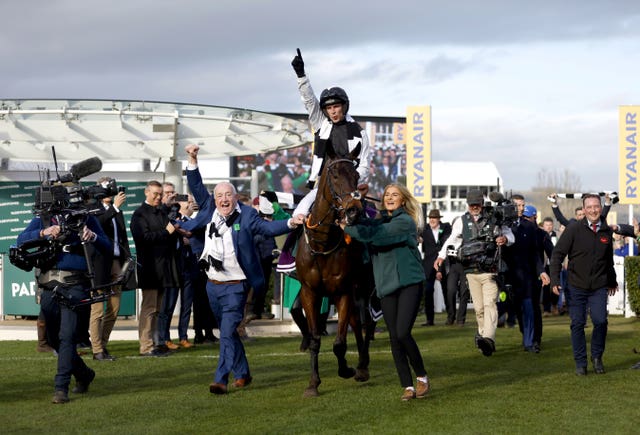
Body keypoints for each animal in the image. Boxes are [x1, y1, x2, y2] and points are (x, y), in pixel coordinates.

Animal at [294, 146, 370, 398]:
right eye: (334, 175)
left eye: (356, 176)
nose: (354, 211)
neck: (323, 245)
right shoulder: (310, 292)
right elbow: (315, 339)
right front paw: (313, 384)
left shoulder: (343, 291)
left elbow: (339, 342)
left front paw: (346, 369)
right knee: (356, 322)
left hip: (364, 290)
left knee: (364, 324)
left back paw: (362, 367)